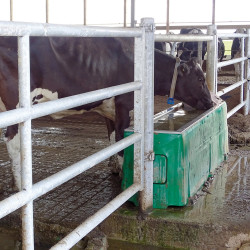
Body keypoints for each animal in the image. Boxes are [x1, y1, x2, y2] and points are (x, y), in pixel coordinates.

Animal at [0, 36, 214, 189]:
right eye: (200, 79)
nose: (211, 102)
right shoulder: (124, 106)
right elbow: (121, 140)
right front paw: (123, 175)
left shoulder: (109, 109)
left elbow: (112, 138)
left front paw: (115, 169)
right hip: (17, 108)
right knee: (13, 142)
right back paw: (20, 186)